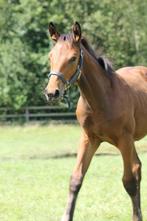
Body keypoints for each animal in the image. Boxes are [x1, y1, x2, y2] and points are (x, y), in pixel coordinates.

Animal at [44, 21, 147, 221]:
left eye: (73, 58)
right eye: (50, 56)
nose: (52, 93)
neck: (101, 99)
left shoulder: (124, 139)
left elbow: (129, 181)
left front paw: (136, 217)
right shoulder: (89, 138)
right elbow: (75, 179)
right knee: (138, 167)